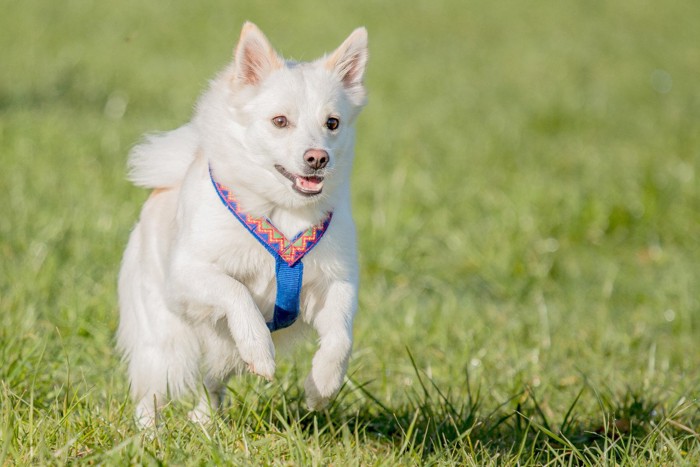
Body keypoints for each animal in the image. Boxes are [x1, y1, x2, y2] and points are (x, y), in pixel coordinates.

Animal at [116, 22, 366, 428]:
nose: (318, 158)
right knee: (151, 394)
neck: (280, 211)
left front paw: (323, 384)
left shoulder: (335, 282)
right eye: (280, 121)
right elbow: (237, 293)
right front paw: (260, 350)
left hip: (215, 356)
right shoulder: (186, 276)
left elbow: (341, 337)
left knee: (211, 384)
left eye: (333, 123)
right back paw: (147, 435)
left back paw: (204, 423)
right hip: (166, 345)